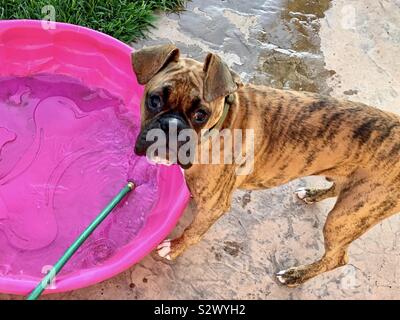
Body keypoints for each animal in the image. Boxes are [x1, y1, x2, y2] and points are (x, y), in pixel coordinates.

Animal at [132, 43, 400, 286]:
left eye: (201, 114)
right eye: (154, 100)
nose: (172, 126)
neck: (220, 125)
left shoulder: (214, 206)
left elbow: (193, 231)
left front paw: (176, 247)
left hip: (345, 218)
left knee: (337, 258)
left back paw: (295, 276)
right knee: (337, 188)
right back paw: (312, 194)